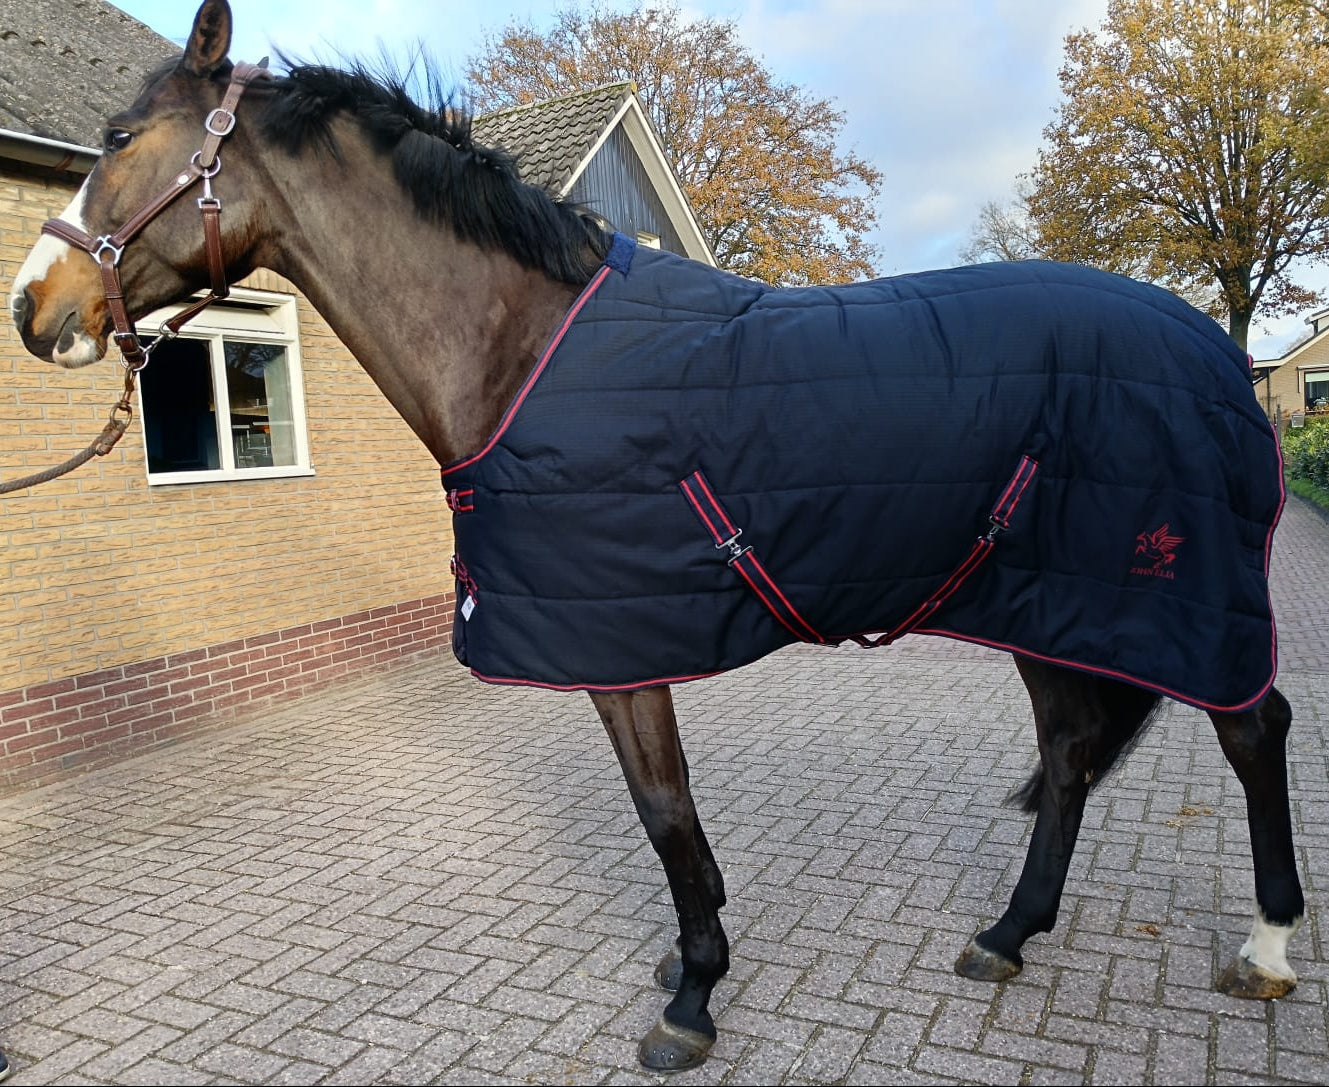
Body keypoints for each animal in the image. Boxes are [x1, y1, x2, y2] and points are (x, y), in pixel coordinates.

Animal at [7, 0, 1305, 1072]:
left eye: (123, 138)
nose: (34, 308)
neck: (523, 349)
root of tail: (1213, 349)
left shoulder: (619, 647)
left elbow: (665, 812)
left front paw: (692, 998)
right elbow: (673, 817)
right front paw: (694, 963)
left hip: (1174, 603)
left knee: (1254, 729)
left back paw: (1267, 947)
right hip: (1045, 597)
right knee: (1076, 751)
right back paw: (1007, 932)